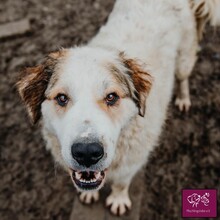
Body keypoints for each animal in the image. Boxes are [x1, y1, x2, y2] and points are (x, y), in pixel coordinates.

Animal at [16, 0, 219, 217]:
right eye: (61, 98)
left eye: (111, 97)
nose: (87, 152)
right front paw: (88, 194)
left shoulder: (132, 161)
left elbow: (121, 183)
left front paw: (118, 199)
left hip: (183, 59)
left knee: (183, 78)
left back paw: (183, 98)